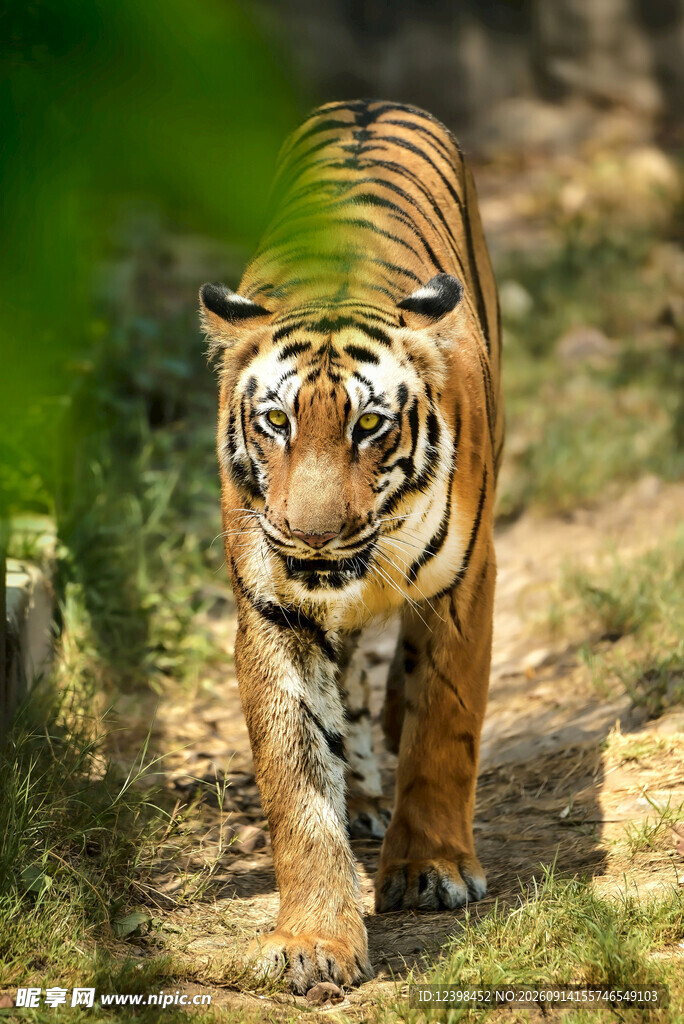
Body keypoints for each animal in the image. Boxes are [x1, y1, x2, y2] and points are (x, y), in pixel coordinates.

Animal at [199, 98, 503, 994]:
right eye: (275, 421)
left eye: (370, 425)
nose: (311, 533)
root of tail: (372, 101)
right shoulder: (273, 610)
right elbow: (298, 776)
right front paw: (314, 940)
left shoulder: (462, 586)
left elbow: (444, 725)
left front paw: (431, 869)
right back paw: (364, 799)